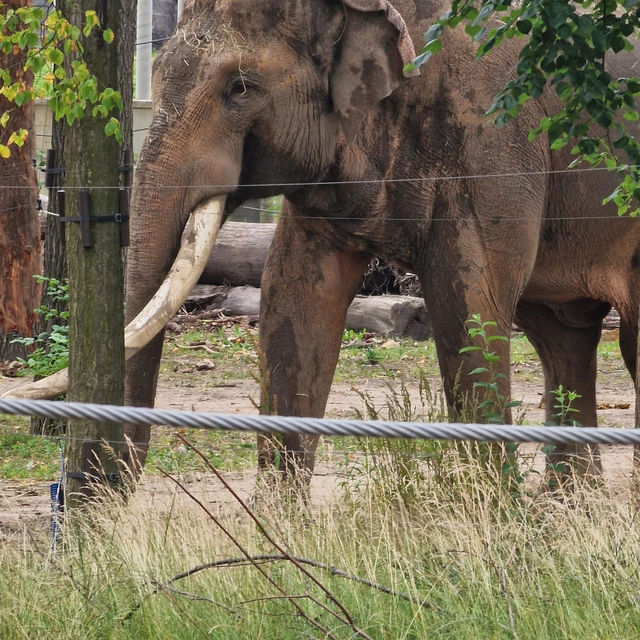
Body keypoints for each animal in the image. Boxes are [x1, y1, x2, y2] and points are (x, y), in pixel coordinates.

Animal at [8, 0, 640, 480]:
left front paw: (495, 539)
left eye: (240, 88)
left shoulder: (492, 138)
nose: (104, 474)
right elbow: (292, 300)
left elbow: (471, 310)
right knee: (563, 340)